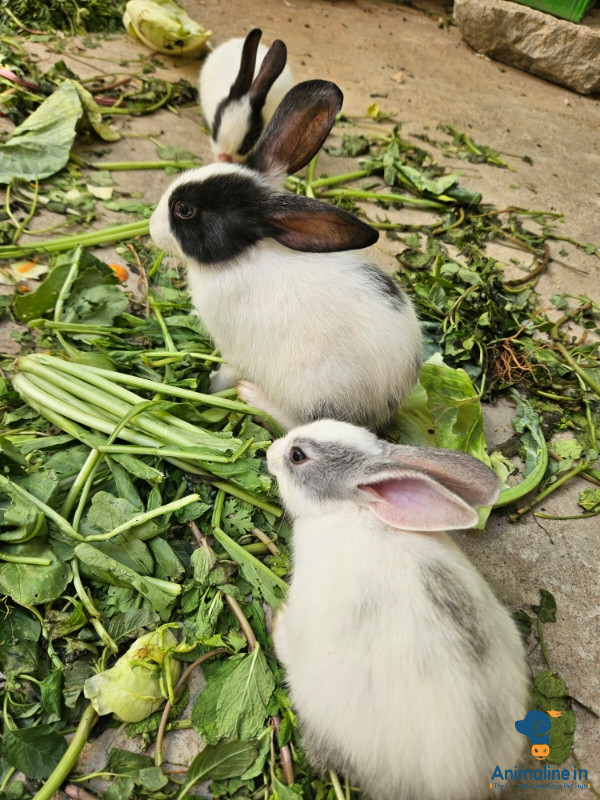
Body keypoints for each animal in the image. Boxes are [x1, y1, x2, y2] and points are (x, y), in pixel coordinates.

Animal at [149, 79, 422, 433]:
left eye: (184, 210)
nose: (151, 227)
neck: (241, 255)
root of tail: (387, 404)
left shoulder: (235, 351)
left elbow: (226, 375)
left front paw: (210, 387)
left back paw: (251, 396)